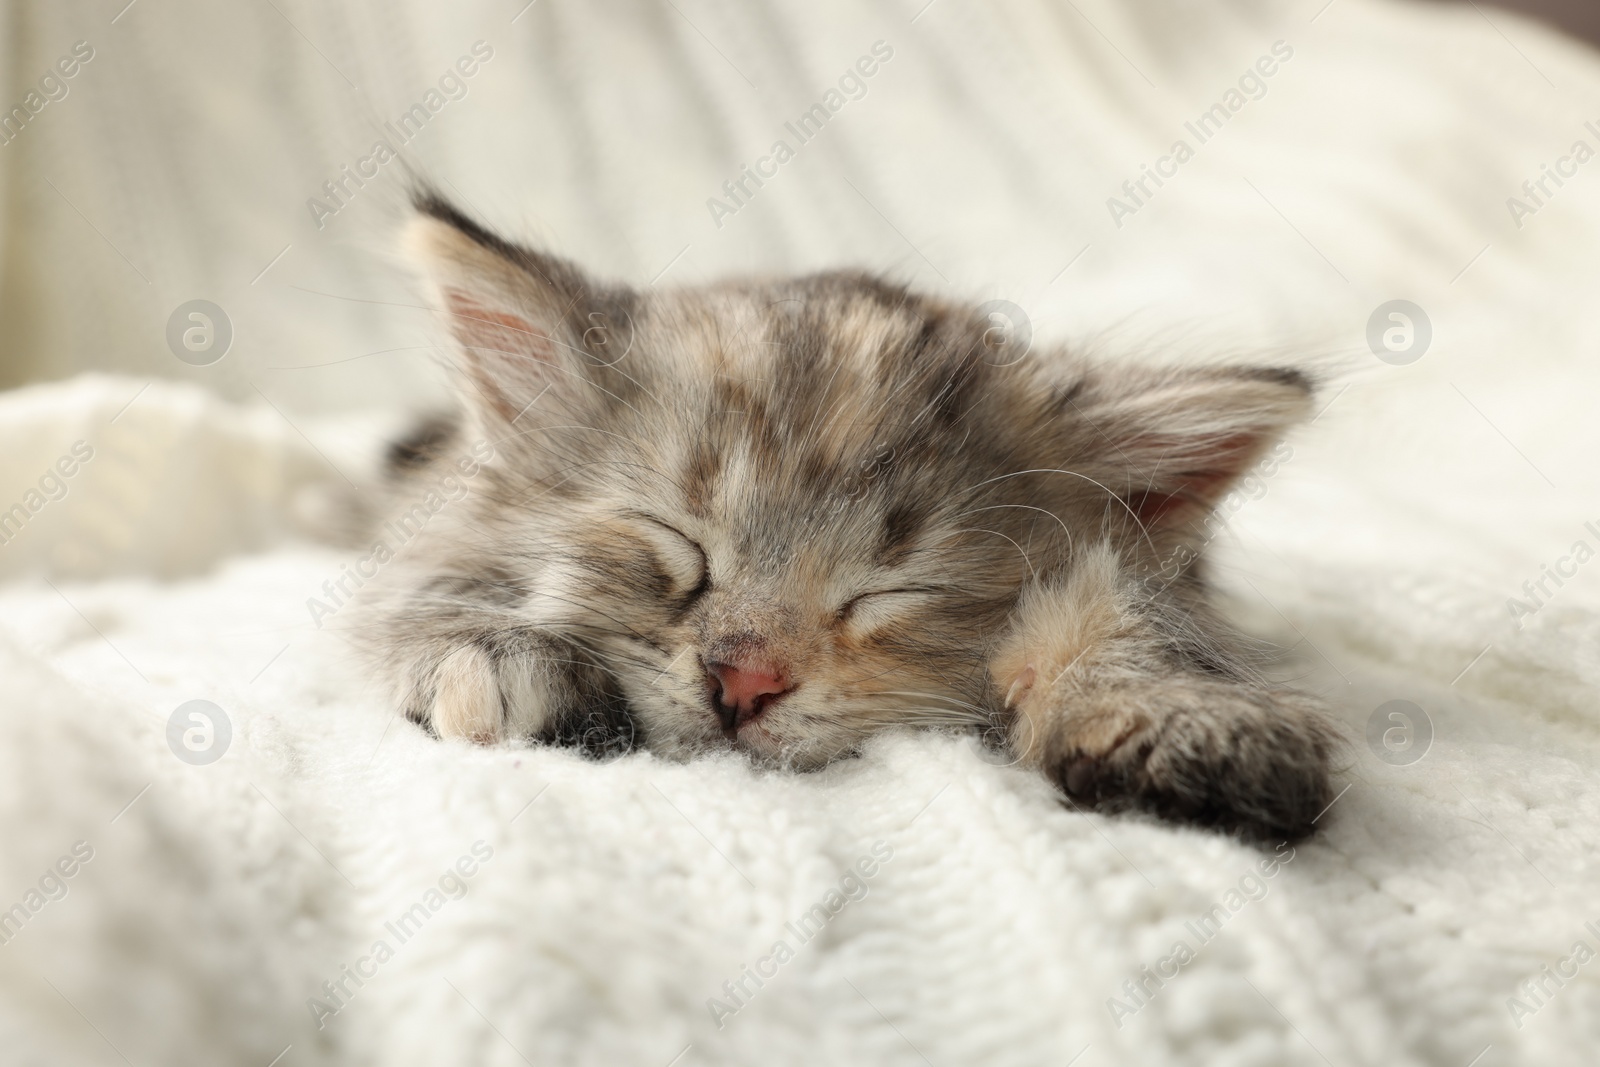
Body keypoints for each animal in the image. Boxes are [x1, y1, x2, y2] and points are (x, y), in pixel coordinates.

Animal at [363, 191, 1337, 844]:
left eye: (886, 592)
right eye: (679, 542)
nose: (743, 680)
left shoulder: (1147, 577)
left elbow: (1134, 613)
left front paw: (1172, 709)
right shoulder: (439, 523)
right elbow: (418, 582)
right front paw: (494, 648)